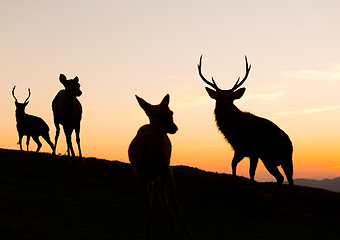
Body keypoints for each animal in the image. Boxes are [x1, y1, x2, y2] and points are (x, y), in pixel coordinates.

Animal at [129, 94, 195, 240]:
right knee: (151, 198)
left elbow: (174, 202)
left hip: (161, 174)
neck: (151, 163)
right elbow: (147, 203)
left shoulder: (167, 169)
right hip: (147, 177)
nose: (174, 127)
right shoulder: (140, 175)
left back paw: (173, 228)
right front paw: (148, 234)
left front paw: (188, 233)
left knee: (162, 196)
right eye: (157, 115)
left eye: (171, 112)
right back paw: (152, 222)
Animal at [197, 55, 294, 205]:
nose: (225, 106)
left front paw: (250, 198)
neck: (239, 135)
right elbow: (232, 166)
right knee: (280, 177)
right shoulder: (240, 151)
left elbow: (251, 173)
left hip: (286, 157)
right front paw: (238, 193)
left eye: (232, 98)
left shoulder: (254, 152)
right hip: (269, 159)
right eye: (218, 97)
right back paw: (272, 202)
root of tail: (290, 142)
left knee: (290, 180)